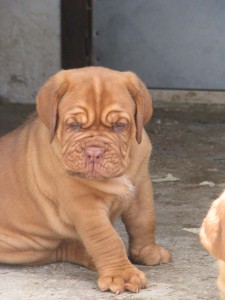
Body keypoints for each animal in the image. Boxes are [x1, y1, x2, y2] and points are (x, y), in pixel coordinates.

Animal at [0, 67, 171, 294]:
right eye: (74, 125)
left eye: (119, 125)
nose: (94, 152)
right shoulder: (84, 204)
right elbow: (106, 237)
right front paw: (121, 274)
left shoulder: (141, 187)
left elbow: (144, 220)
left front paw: (147, 251)